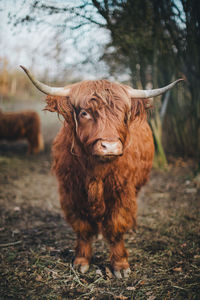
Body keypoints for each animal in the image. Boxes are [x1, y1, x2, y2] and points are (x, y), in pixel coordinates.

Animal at [21, 67, 183, 278]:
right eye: (84, 113)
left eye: (124, 114)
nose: (110, 146)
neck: (95, 171)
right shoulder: (71, 192)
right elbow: (82, 227)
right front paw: (81, 261)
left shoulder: (121, 192)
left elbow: (116, 226)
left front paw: (120, 265)